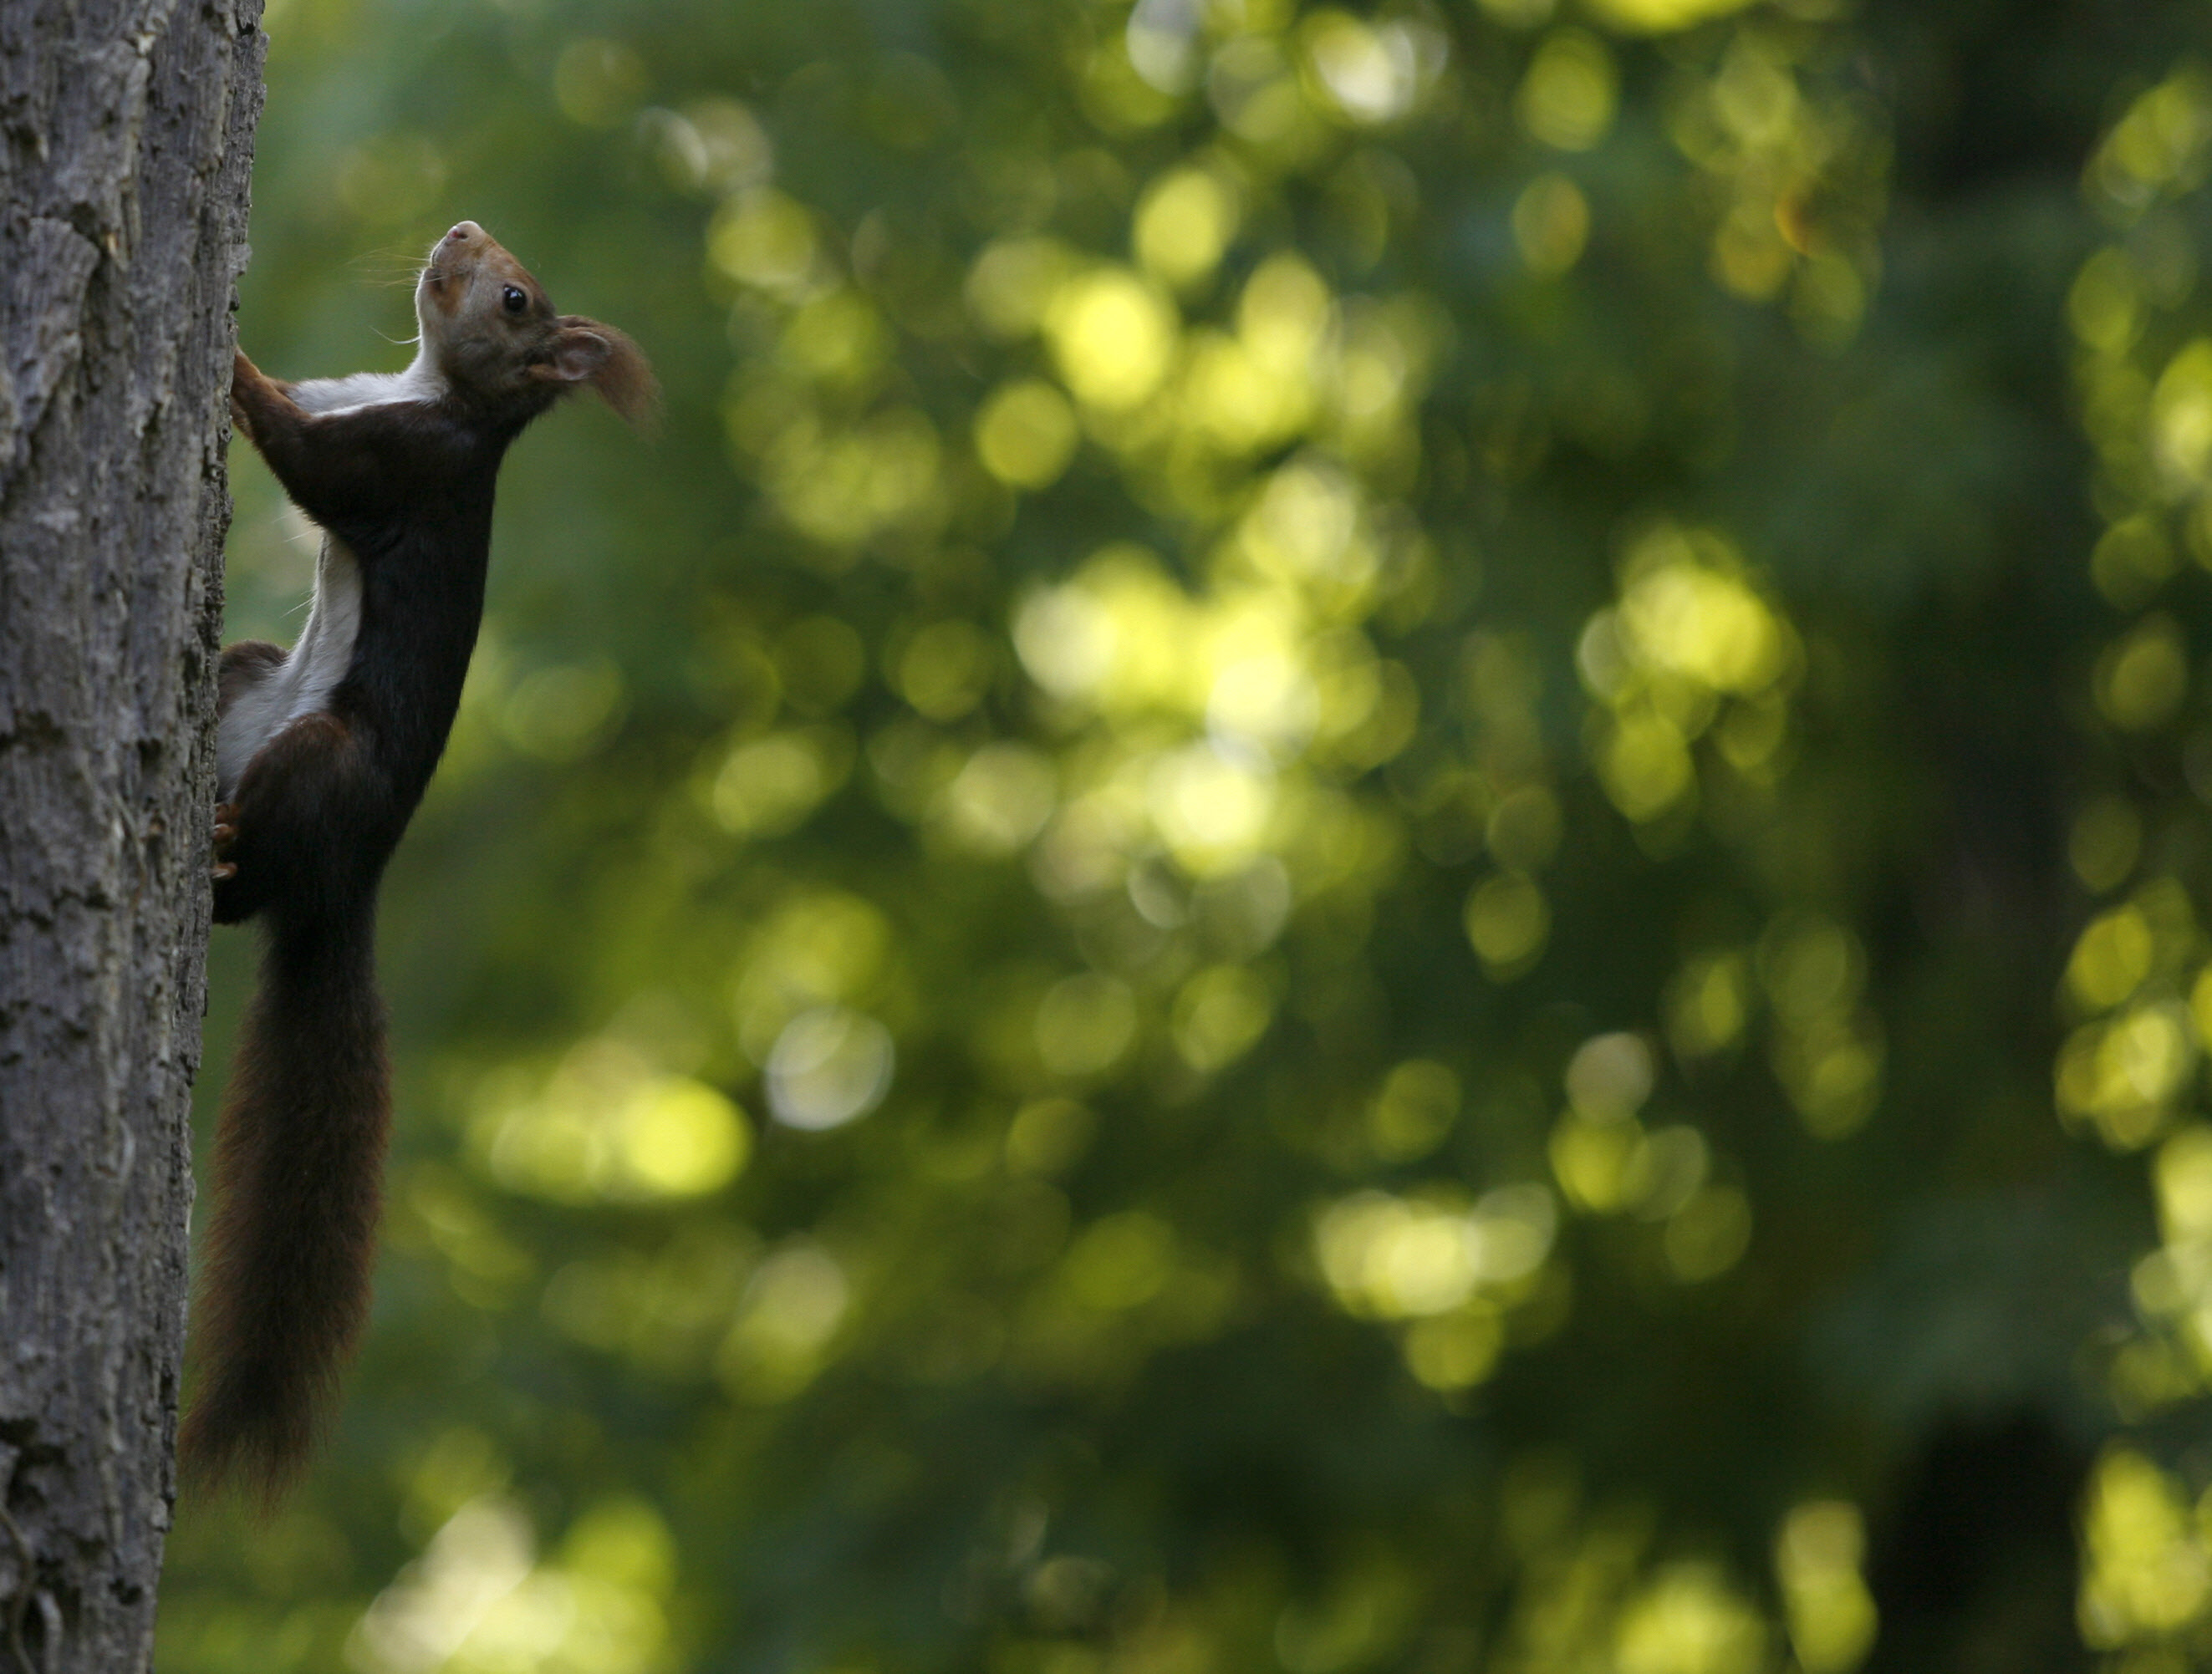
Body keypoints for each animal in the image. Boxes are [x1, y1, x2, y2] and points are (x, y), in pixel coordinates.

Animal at [187, 218, 655, 1486]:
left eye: (515, 297)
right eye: (500, 258)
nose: (459, 230)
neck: (422, 385)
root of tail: (351, 883)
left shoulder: (407, 462)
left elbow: (304, 460)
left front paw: (228, 359)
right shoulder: (358, 400)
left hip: (322, 759)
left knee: (243, 894)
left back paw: (218, 848)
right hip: (248, 677)